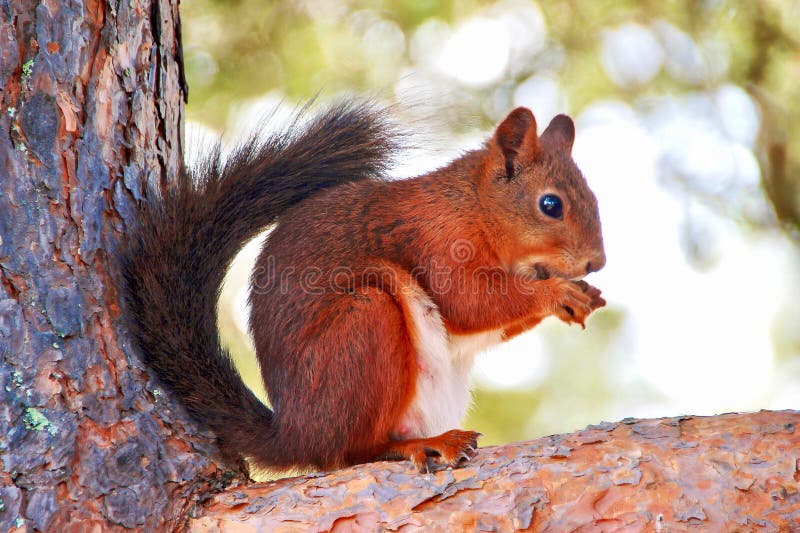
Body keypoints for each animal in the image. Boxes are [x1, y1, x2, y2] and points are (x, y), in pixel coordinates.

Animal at [120, 101, 608, 474]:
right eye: (550, 204)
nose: (597, 262)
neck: (471, 205)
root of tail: (295, 435)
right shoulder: (437, 241)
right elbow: (468, 302)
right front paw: (557, 293)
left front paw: (584, 295)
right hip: (367, 323)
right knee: (352, 452)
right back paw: (420, 445)